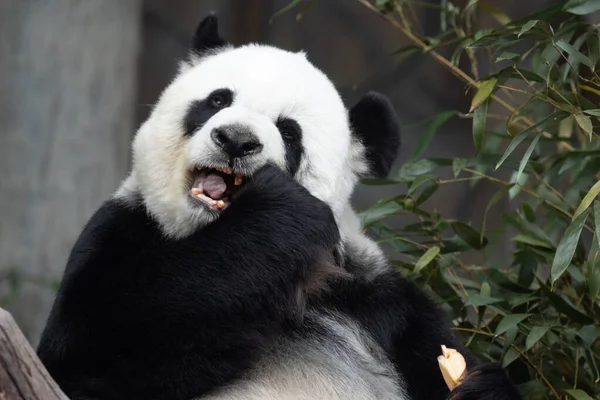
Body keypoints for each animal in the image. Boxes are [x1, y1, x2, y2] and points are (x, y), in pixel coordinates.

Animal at [38, 13, 520, 400]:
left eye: (289, 132)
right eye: (217, 100)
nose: (235, 140)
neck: (201, 238)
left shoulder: (377, 302)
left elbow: (440, 355)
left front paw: (481, 388)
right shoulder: (120, 231)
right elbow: (88, 355)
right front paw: (279, 214)